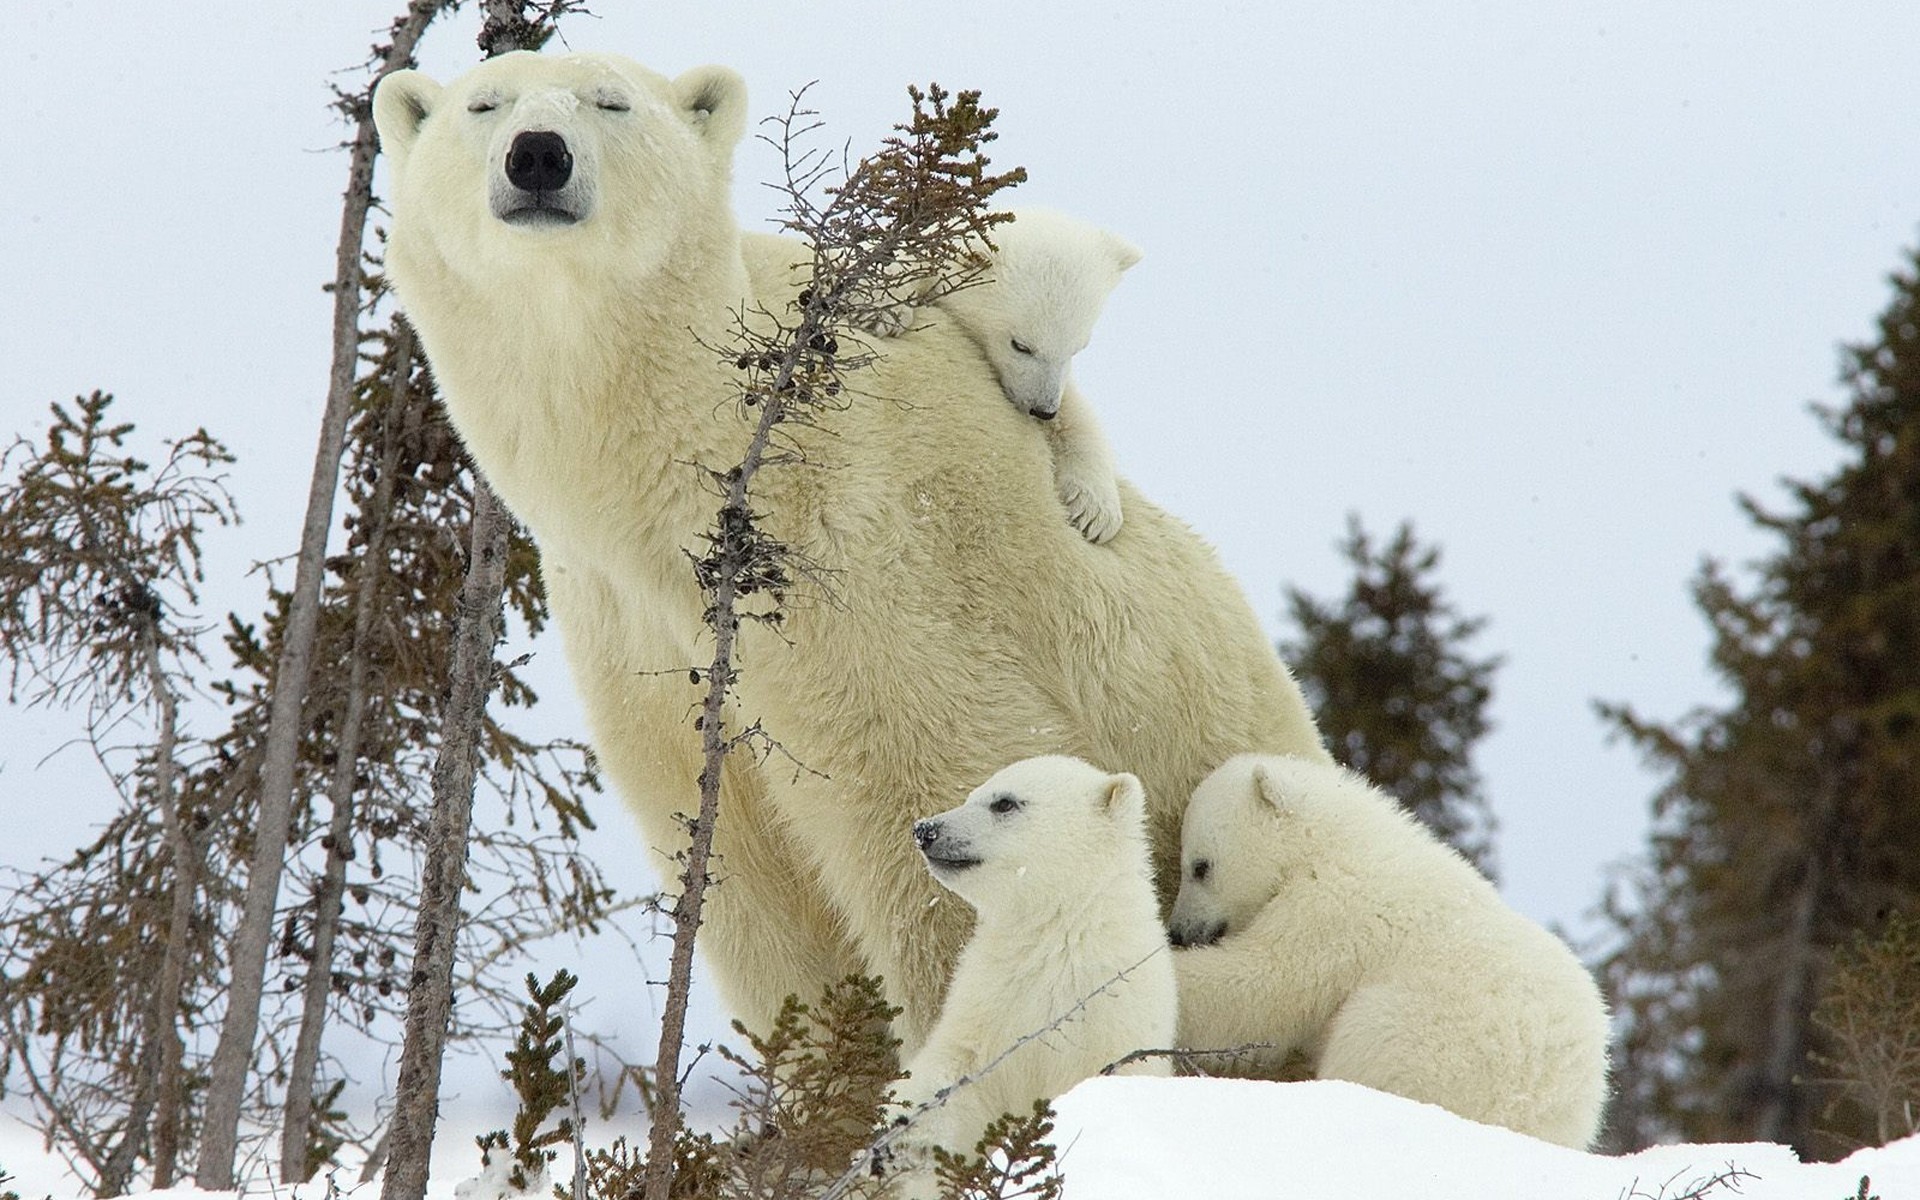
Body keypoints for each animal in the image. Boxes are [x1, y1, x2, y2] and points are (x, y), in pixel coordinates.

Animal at [366, 53, 1328, 1044]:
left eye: (611, 102)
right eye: (484, 104)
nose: (538, 156)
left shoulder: (868, 565)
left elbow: (937, 810)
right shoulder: (634, 636)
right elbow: (753, 891)